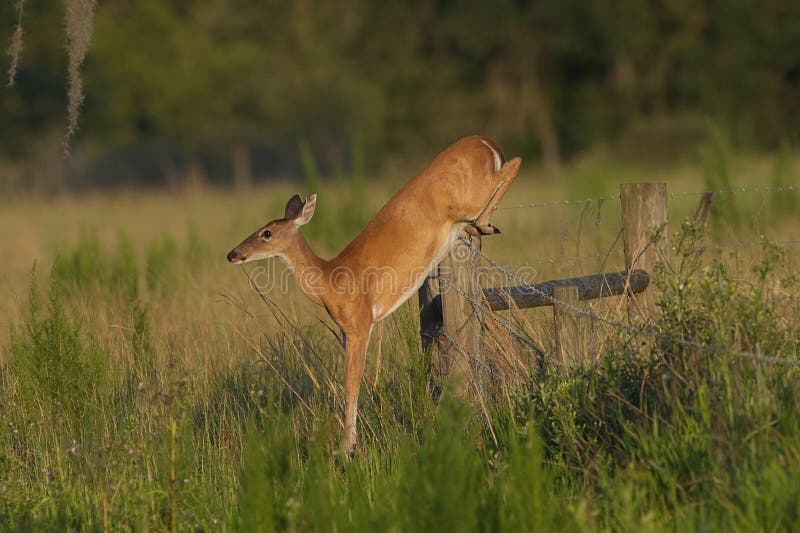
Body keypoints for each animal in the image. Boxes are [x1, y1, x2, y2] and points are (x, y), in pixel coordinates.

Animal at [227, 135, 521, 456]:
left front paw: (346, 449)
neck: (331, 281)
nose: (233, 254)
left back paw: (482, 224)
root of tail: (484, 140)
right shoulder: (347, 331)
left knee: (513, 163)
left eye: (266, 233)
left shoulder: (360, 323)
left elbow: (351, 384)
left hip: (471, 193)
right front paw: (349, 443)